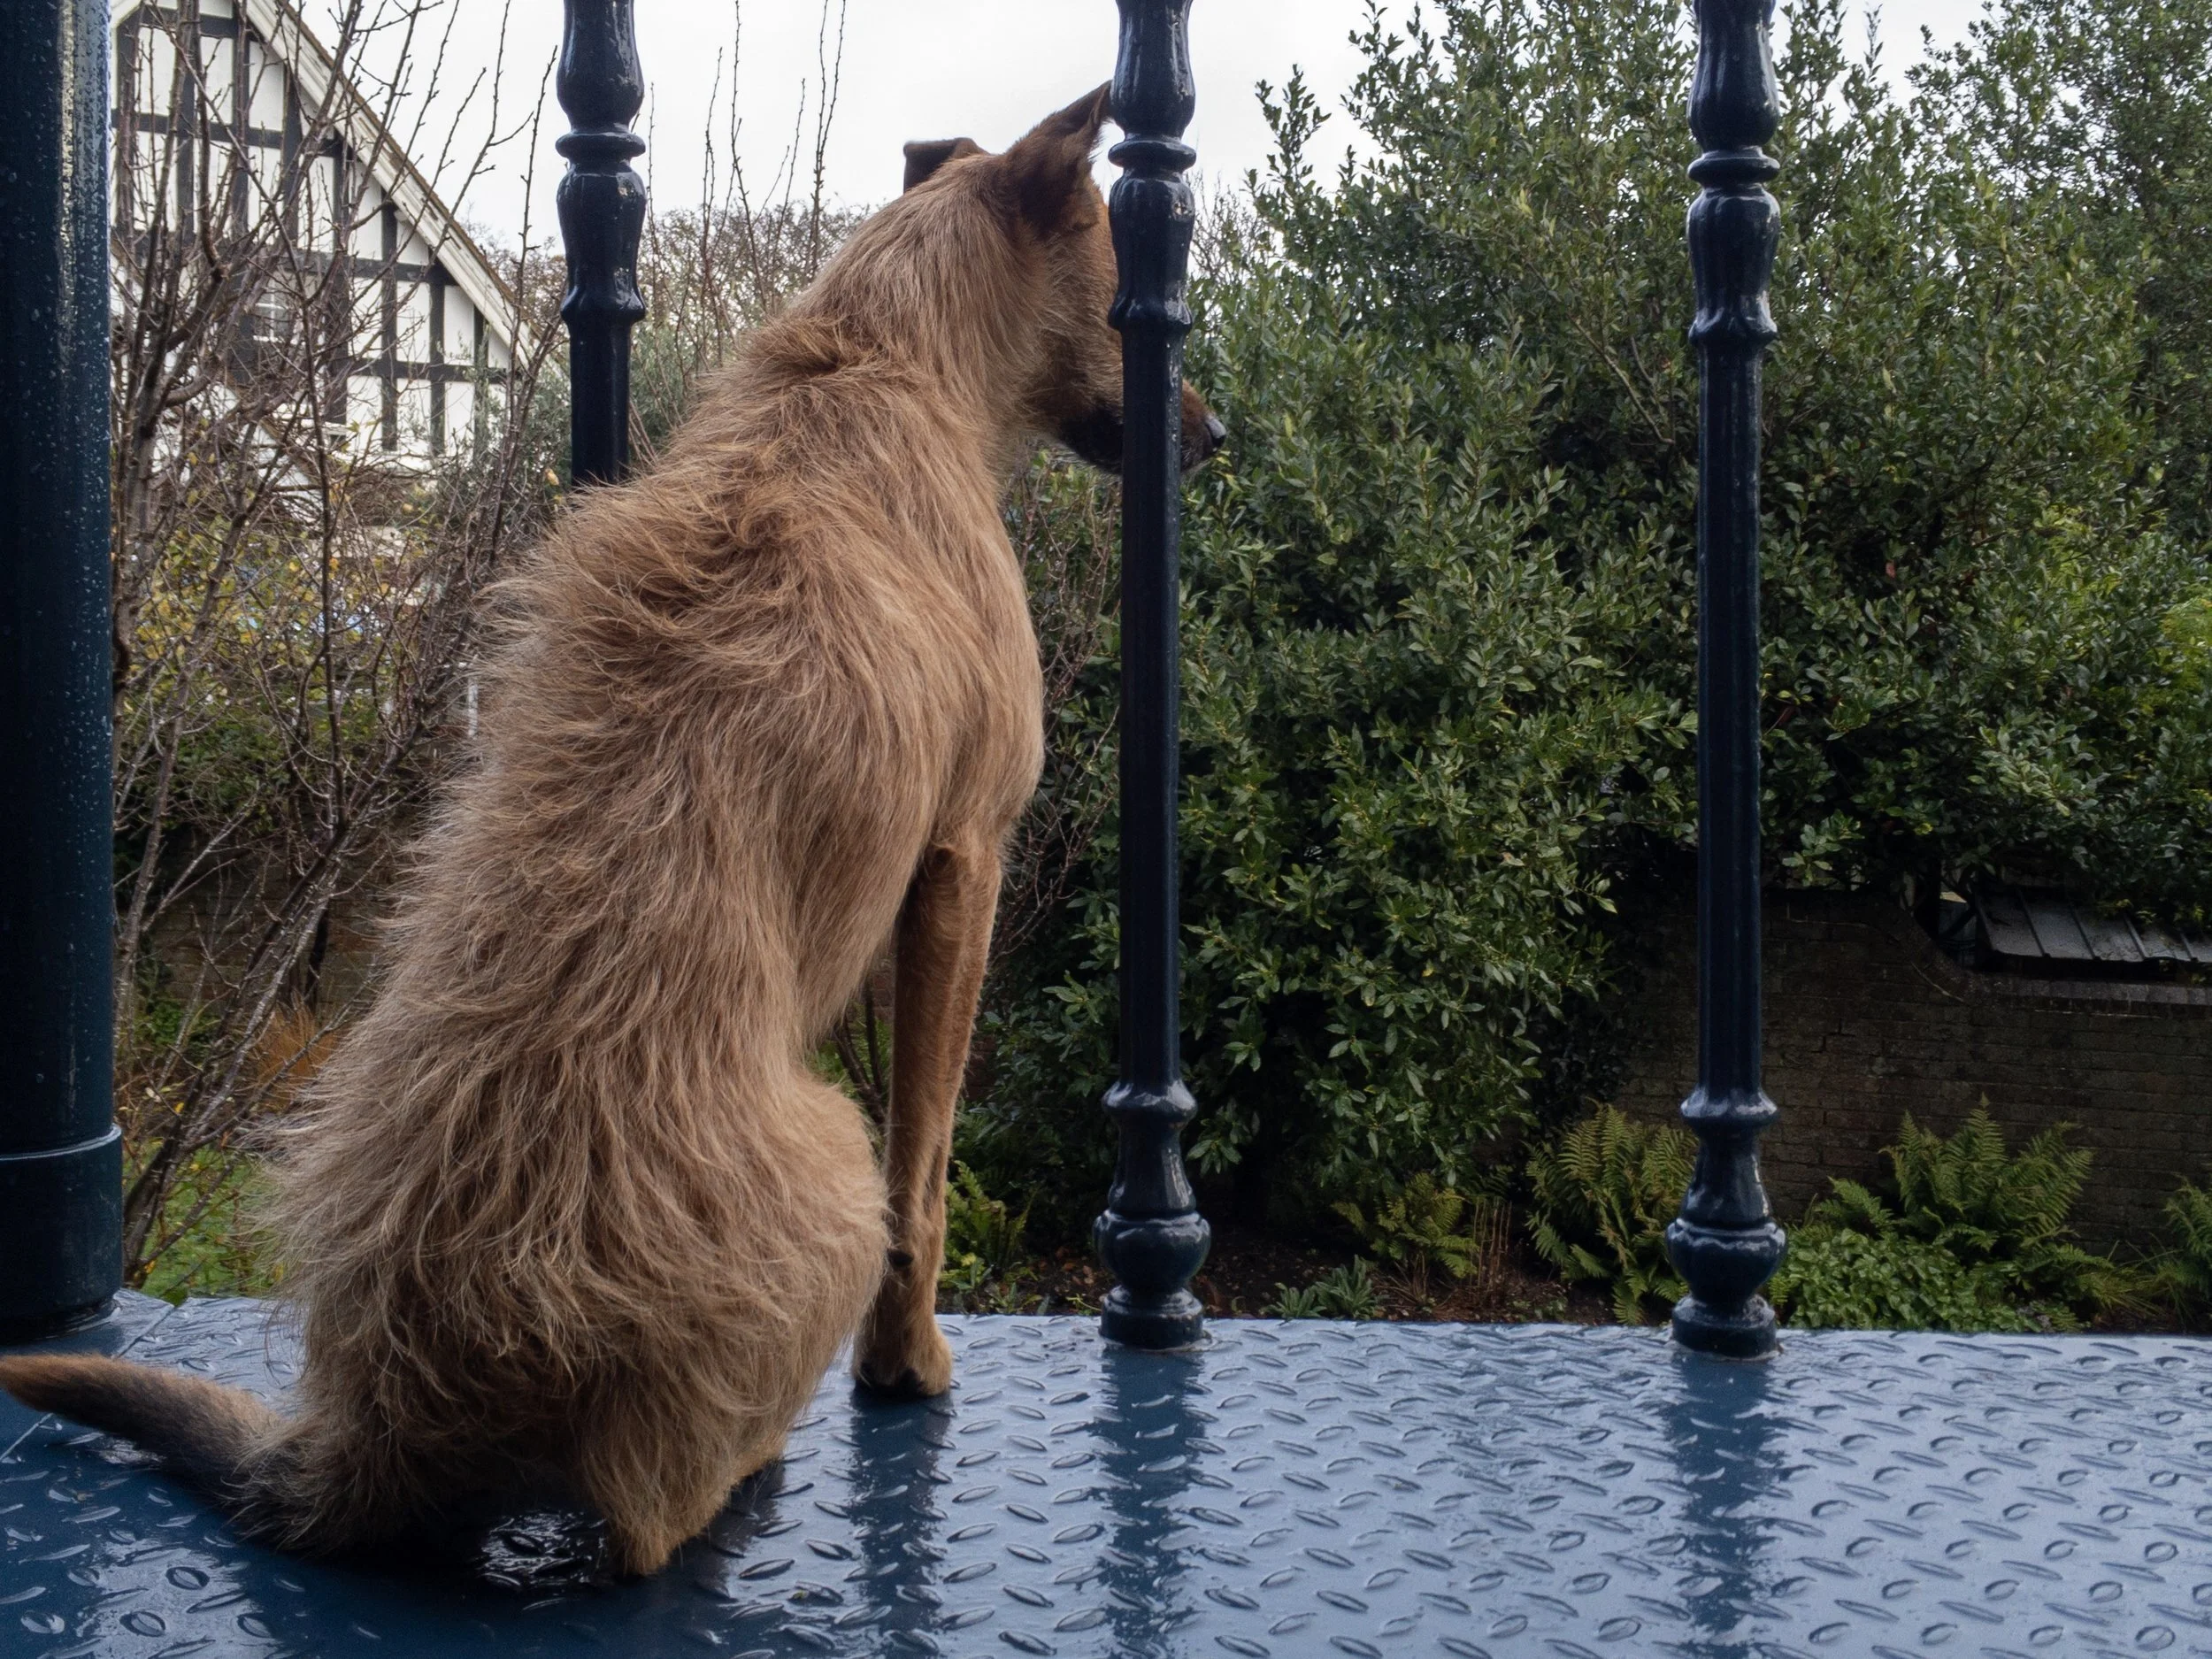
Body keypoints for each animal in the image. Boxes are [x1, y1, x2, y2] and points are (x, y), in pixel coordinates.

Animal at [0, 85, 1221, 1579]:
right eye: (1122, 301)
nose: (1215, 435)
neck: (881, 359)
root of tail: (387, 1426)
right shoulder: (962, 861)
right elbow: (930, 1173)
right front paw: (907, 1361)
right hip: (832, 1152)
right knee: (653, 1515)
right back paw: (747, 1463)